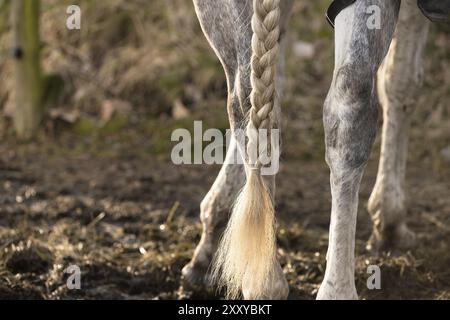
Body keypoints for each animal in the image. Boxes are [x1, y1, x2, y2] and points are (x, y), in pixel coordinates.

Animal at [181, 0, 444, 300]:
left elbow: (401, 81)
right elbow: (399, 80)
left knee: (250, 97)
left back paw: (265, 278)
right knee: (347, 103)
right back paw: (330, 289)